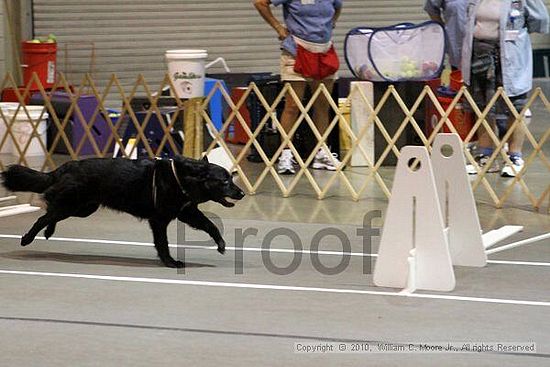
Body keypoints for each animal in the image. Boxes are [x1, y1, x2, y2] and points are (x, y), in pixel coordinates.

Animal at [0, 157, 246, 268]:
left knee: (50, 213)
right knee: (44, 215)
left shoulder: (186, 213)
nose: (242, 193)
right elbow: (163, 243)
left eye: (231, 178)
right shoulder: (160, 220)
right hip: (73, 204)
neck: (182, 178)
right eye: (225, 181)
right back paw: (27, 238)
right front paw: (170, 262)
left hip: (84, 208)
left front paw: (221, 245)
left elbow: (209, 225)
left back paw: (48, 232)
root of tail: (64, 167)